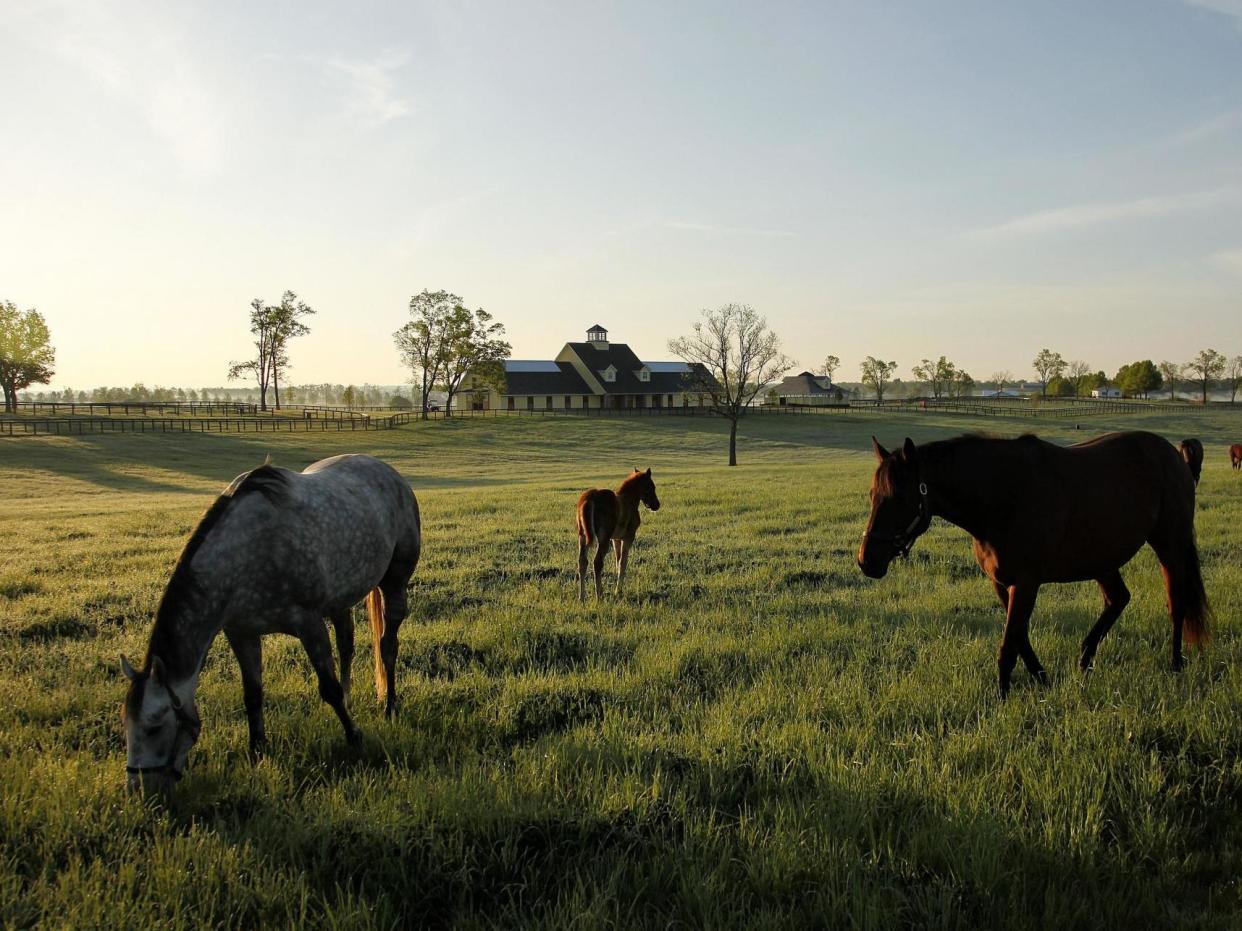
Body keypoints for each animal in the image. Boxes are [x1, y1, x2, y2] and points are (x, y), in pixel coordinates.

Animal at [121, 456, 422, 799]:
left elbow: (328, 688)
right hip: (340, 599)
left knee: (387, 645)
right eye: (125, 725)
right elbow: (252, 695)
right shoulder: (242, 634)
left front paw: (354, 737)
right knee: (347, 644)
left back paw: (390, 705)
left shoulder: (309, 625)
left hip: (395, 582)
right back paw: (353, 698)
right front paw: (257, 752)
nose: (139, 791)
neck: (245, 554)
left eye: (154, 726)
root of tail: (389, 472)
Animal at [578, 466, 660, 605]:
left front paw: (617, 587)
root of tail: (589, 499)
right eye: (651, 486)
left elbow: (617, 560)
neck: (629, 500)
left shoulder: (615, 539)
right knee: (597, 562)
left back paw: (582, 597)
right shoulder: (629, 537)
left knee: (582, 562)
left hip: (583, 536)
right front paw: (619, 591)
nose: (656, 505)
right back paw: (599, 595)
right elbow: (623, 562)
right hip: (603, 539)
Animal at [859, 434, 1207, 695]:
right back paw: (1085, 659)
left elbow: (1008, 648)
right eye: (873, 494)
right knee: (1118, 599)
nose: (867, 560)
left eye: (899, 498)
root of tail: (1175, 456)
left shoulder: (1025, 583)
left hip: (1169, 546)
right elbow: (1020, 639)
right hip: (1102, 560)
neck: (1002, 496)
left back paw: (1175, 664)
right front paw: (1042, 679)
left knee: (1176, 603)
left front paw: (1002, 699)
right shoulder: (1003, 583)